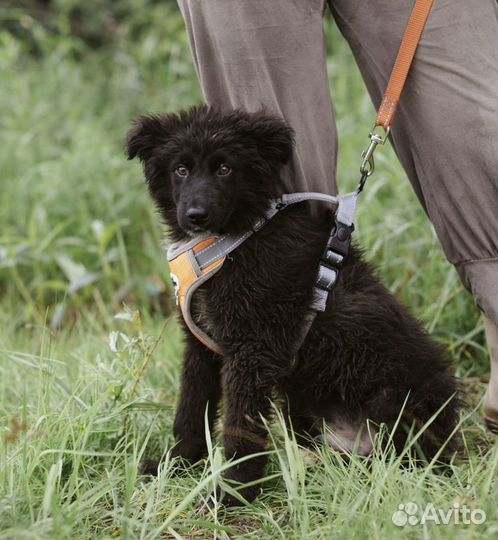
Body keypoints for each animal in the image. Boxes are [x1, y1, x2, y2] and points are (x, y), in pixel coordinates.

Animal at [126, 106, 462, 506]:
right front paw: (177, 464)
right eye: (180, 169)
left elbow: (240, 428)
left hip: (391, 396)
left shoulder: (252, 351)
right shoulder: (201, 344)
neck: (234, 241)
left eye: (224, 168)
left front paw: (232, 493)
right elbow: (191, 408)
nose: (196, 215)